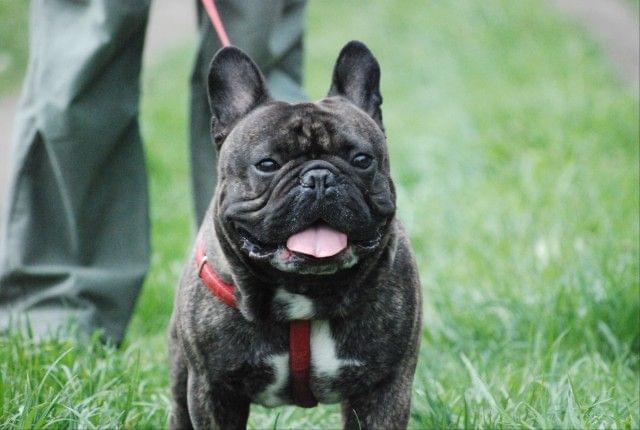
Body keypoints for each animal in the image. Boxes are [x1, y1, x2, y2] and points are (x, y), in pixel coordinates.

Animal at [169, 40, 422, 430]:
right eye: (267, 164)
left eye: (362, 160)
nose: (319, 177)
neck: (307, 292)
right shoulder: (213, 389)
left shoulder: (385, 388)